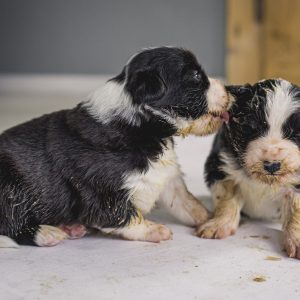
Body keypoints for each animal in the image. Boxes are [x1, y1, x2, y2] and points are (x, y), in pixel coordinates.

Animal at [0, 47, 230, 247]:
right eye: (196, 76)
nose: (228, 90)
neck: (144, 128)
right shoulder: (102, 194)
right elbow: (126, 217)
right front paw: (156, 230)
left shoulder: (166, 176)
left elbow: (186, 202)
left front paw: (210, 218)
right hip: (10, 189)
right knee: (12, 225)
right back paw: (48, 233)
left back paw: (69, 228)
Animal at [197, 78, 300, 258]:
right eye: (252, 128)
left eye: (297, 134)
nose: (272, 164)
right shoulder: (221, 168)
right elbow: (227, 200)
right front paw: (218, 225)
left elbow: (296, 211)